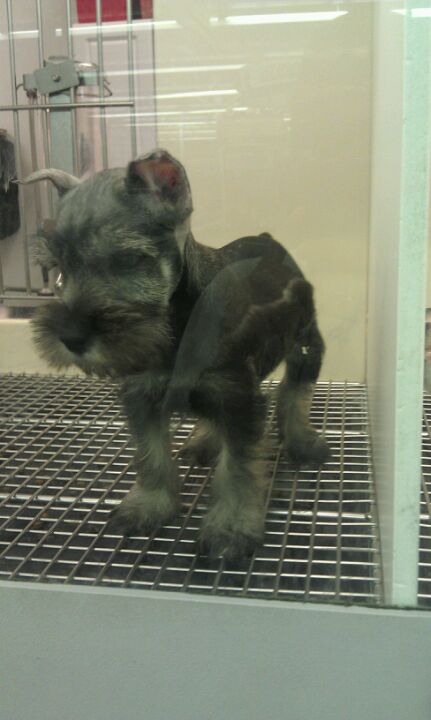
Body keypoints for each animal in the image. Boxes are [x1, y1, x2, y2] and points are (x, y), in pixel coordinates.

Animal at [22, 149, 329, 561]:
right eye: (57, 270)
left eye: (127, 260)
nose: (70, 337)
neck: (175, 329)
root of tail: (269, 242)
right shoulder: (143, 396)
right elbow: (151, 457)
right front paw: (149, 505)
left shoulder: (239, 399)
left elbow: (238, 469)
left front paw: (231, 527)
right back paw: (204, 441)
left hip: (305, 344)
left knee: (296, 393)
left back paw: (301, 441)